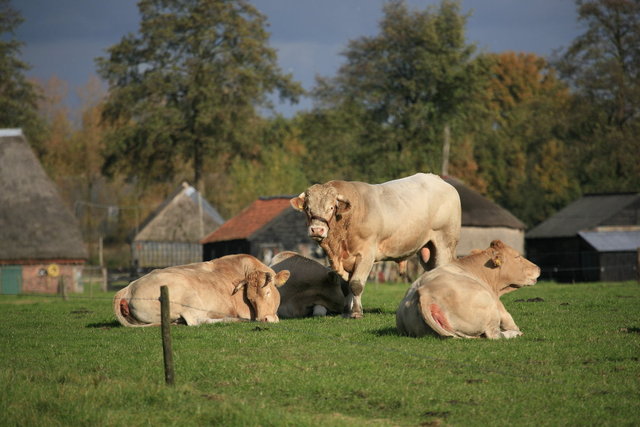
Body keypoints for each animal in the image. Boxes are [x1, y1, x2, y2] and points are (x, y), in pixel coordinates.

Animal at [114, 254, 290, 328]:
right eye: (250, 299)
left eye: (268, 293)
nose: (263, 319)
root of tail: (128, 288)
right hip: (188, 299)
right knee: (197, 321)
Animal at [290, 173, 460, 318]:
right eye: (307, 208)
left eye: (331, 207)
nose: (317, 230)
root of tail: (436, 178)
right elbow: (345, 287)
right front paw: (346, 312)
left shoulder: (366, 254)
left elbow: (356, 284)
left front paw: (356, 312)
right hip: (428, 251)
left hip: (444, 243)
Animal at [396, 241, 540, 338]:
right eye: (517, 256)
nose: (538, 268)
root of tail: (424, 292)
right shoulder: (500, 307)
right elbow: (509, 320)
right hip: (489, 308)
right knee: (495, 334)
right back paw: (514, 333)